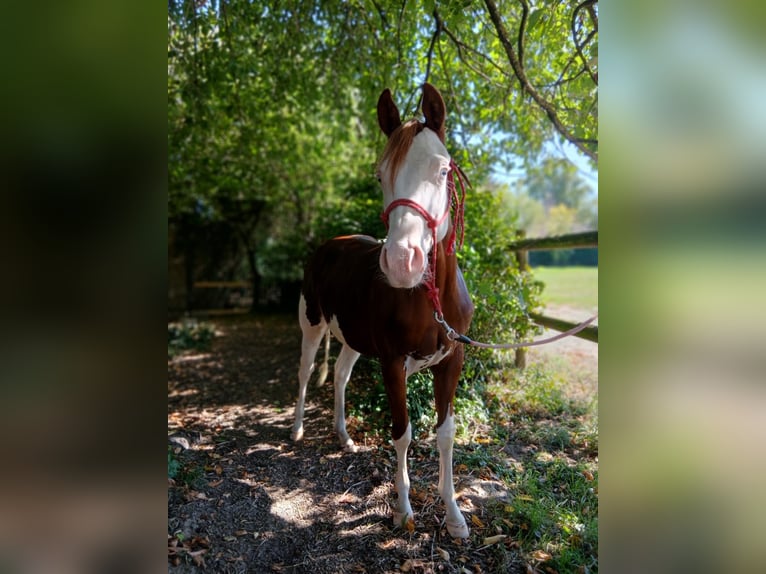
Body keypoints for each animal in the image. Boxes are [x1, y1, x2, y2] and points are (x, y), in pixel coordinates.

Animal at [291, 83, 474, 538]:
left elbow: (445, 434)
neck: (430, 300)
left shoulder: (453, 360)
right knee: (305, 372)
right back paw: (297, 428)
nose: (402, 261)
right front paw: (403, 510)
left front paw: (454, 515)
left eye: (442, 170)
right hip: (311, 326)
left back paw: (343, 436)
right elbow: (402, 433)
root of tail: (330, 243)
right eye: (380, 175)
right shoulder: (392, 363)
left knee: (340, 375)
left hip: (352, 339)